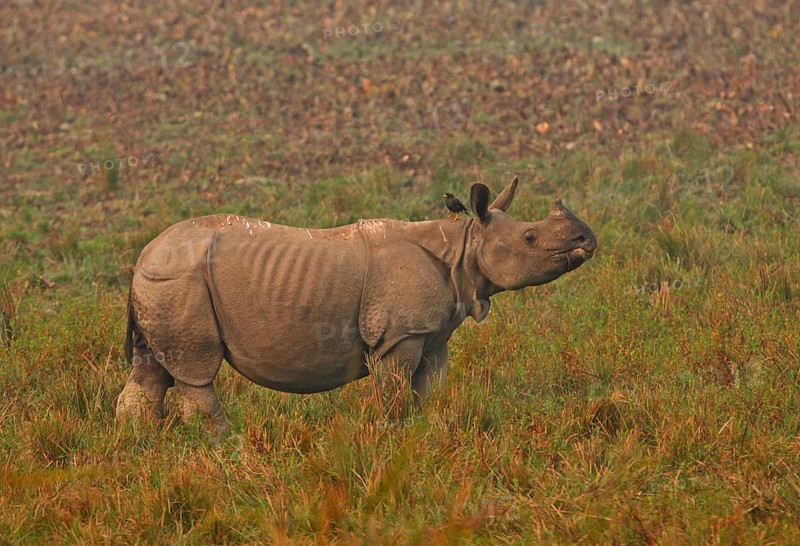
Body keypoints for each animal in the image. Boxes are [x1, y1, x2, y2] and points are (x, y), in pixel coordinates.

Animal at [116, 177, 597, 432]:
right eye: (530, 238)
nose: (586, 240)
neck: (464, 245)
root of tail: (142, 256)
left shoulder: (431, 333)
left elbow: (432, 387)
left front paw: (429, 431)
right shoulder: (399, 335)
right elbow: (394, 390)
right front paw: (394, 433)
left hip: (162, 282)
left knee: (152, 368)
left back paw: (138, 443)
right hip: (179, 280)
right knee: (195, 372)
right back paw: (223, 442)